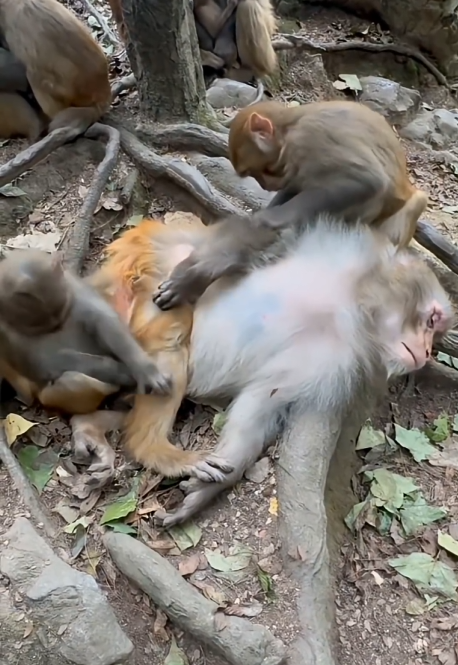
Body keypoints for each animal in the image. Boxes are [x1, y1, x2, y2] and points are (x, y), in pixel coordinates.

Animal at [147, 218, 454, 527]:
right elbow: (271, 235)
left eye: (436, 331)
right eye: (431, 320)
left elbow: (262, 403)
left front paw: (207, 491)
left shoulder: (332, 361)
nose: (428, 351)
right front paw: (196, 274)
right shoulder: (336, 248)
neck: (345, 313)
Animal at [153, 100, 429, 311]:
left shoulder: (310, 138)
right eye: (253, 174)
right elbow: (293, 187)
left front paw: (270, 219)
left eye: (261, 170)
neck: (291, 126)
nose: (264, 185)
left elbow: (365, 181)